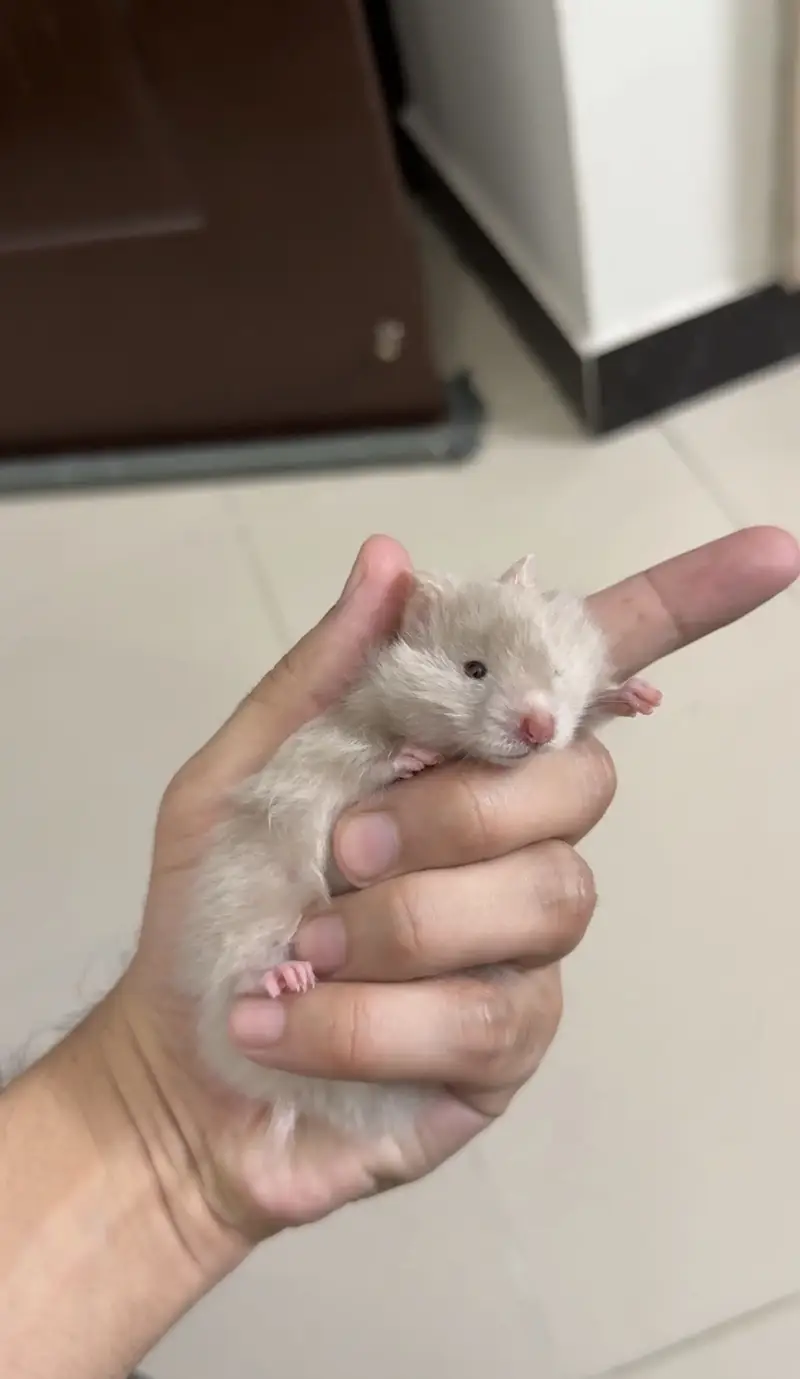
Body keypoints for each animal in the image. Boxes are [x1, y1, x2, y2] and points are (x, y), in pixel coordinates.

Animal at [180, 555, 661, 1141]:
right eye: (474, 670)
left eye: (555, 669)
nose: (539, 728)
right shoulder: (331, 743)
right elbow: (368, 759)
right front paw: (413, 757)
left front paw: (640, 696)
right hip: (251, 887)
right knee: (241, 968)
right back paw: (288, 978)